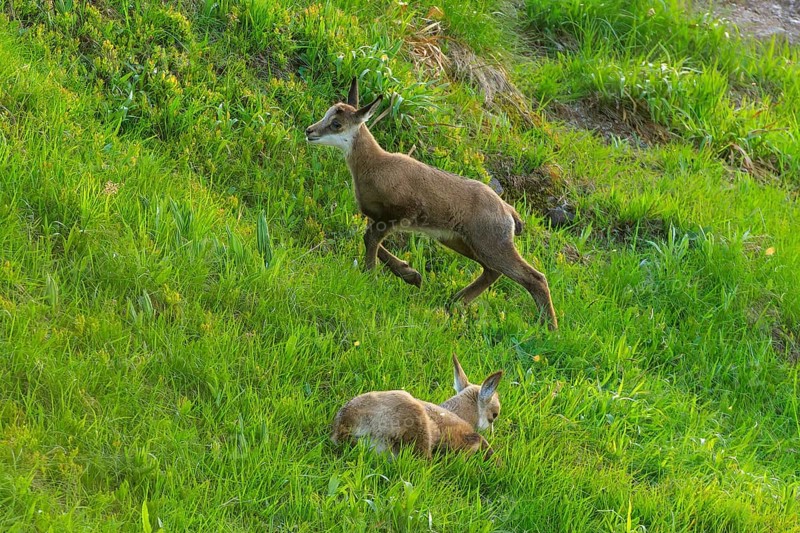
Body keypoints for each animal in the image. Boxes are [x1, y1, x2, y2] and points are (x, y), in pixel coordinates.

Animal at [306, 78, 558, 330]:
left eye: (336, 123)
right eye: (327, 114)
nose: (309, 131)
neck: (376, 165)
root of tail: (509, 212)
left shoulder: (399, 214)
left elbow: (370, 239)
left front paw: (372, 276)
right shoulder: (377, 216)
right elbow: (371, 240)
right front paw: (411, 274)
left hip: (491, 243)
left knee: (534, 277)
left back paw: (549, 328)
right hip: (460, 240)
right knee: (492, 271)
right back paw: (456, 301)